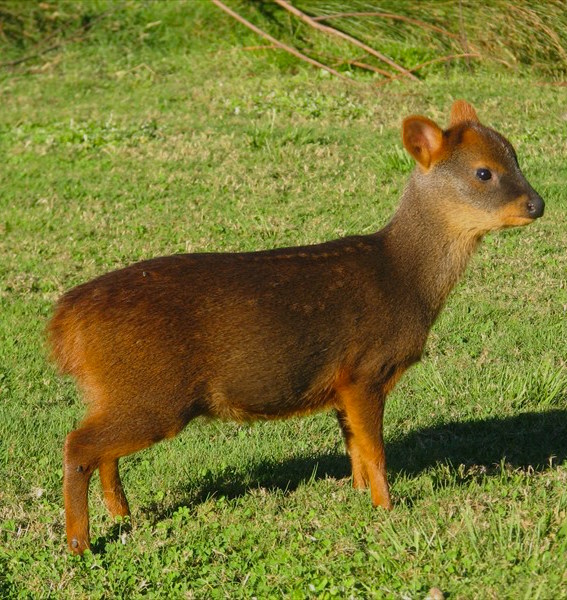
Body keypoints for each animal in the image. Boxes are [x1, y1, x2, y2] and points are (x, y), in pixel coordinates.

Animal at [48, 99, 544, 552]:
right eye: (484, 173)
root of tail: (65, 322)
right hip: (155, 394)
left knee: (101, 452)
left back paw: (122, 514)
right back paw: (80, 544)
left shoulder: (341, 383)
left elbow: (354, 448)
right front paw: (387, 507)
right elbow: (376, 449)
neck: (407, 282)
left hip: (121, 392)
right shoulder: (366, 369)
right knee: (76, 445)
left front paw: (359, 495)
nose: (538, 204)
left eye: (516, 156)